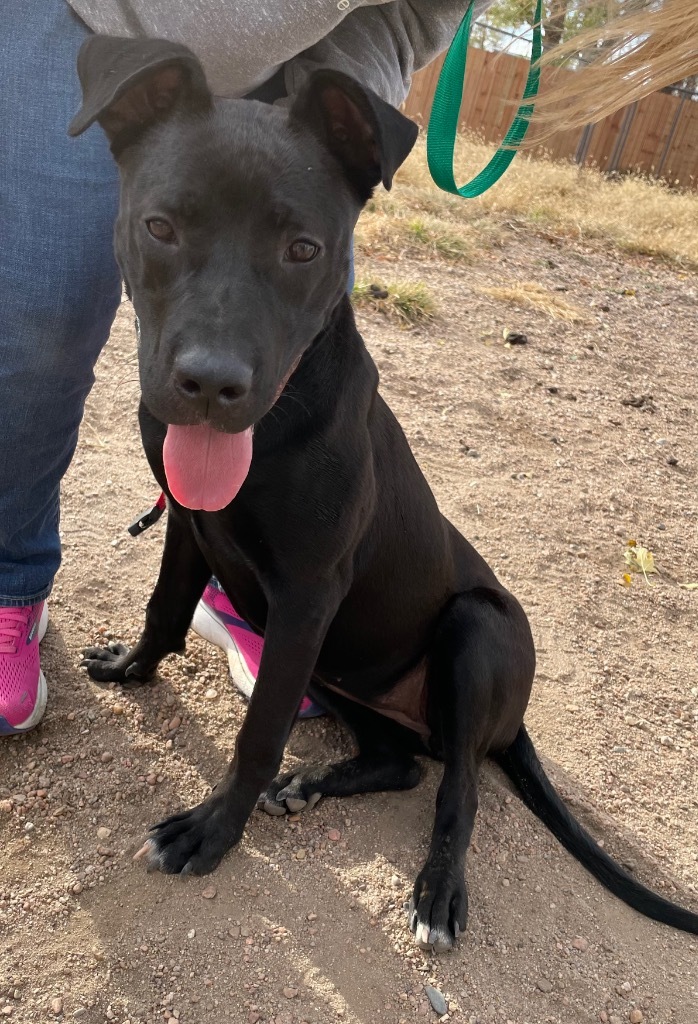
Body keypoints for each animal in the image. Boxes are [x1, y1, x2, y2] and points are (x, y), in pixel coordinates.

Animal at [72, 39, 695, 950]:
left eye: (303, 249)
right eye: (159, 227)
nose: (211, 386)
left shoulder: (306, 594)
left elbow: (259, 732)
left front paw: (212, 831)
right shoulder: (192, 526)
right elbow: (164, 610)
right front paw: (131, 667)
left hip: (471, 634)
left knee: (458, 790)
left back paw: (436, 892)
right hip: (335, 666)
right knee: (400, 761)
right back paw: (313, 784)